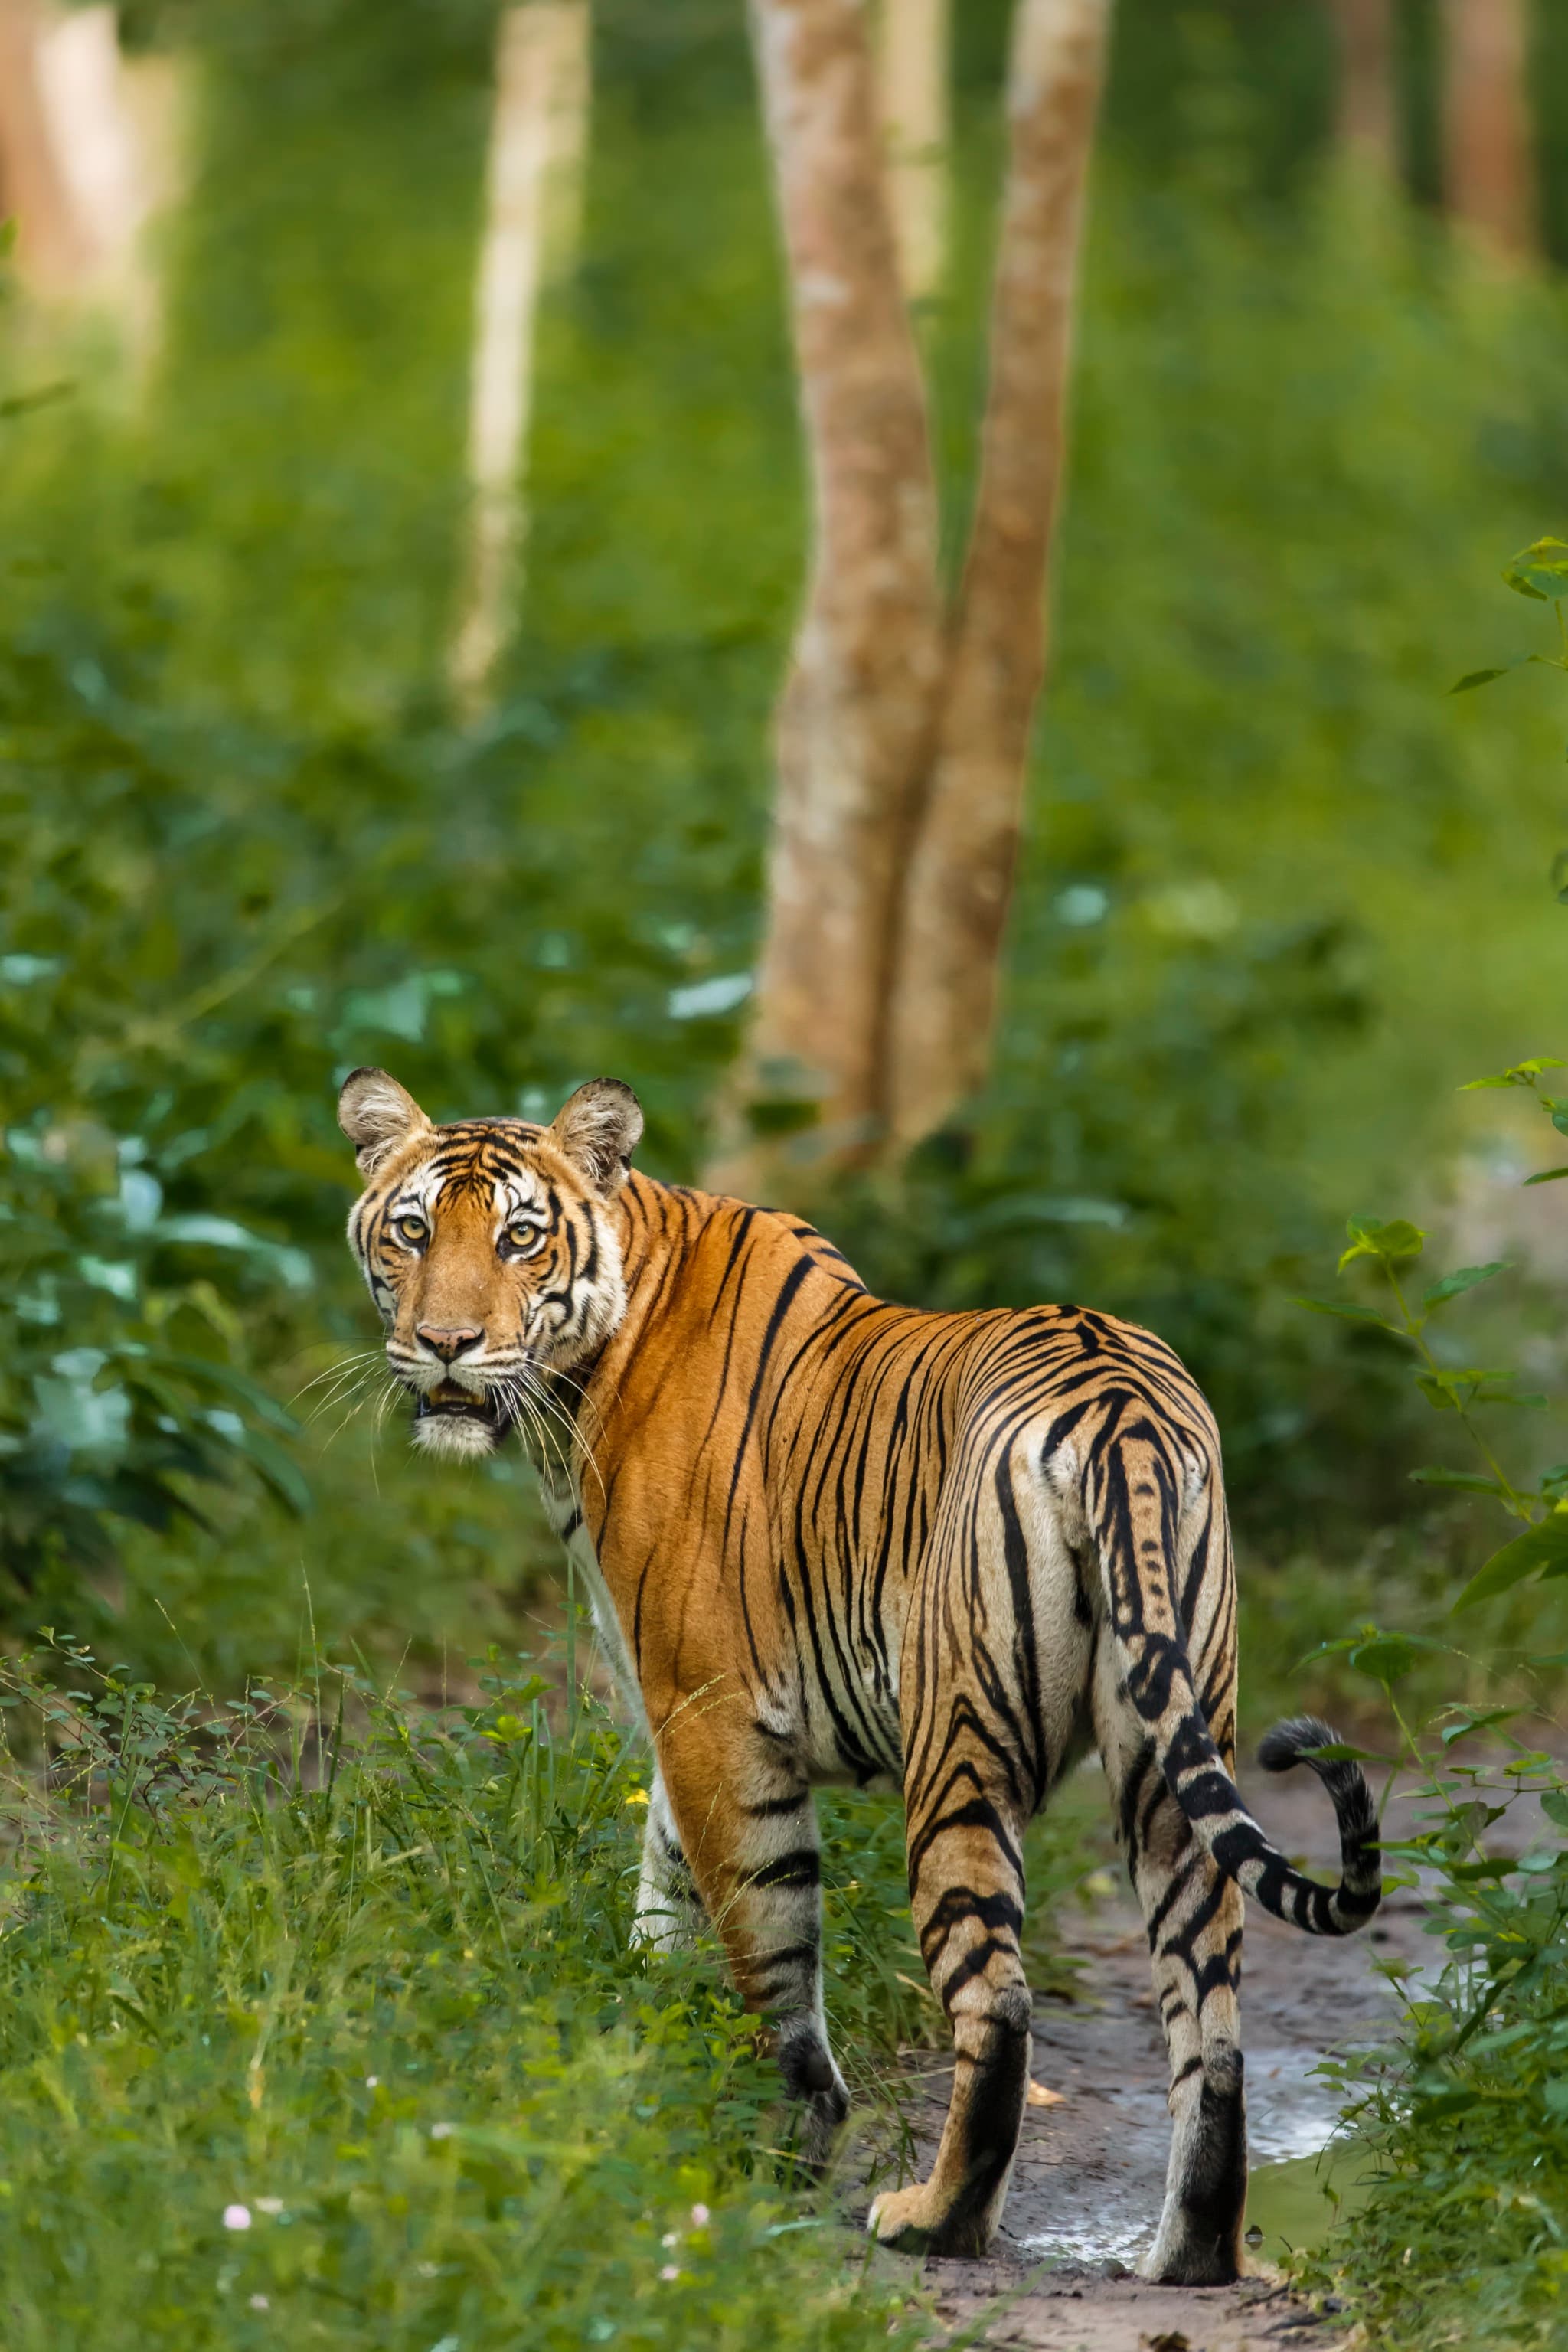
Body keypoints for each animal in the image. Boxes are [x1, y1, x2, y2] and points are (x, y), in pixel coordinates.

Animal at [338, 1063, 1381, 2279]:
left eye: (519, 1238)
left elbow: (765, 1942)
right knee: (1209, 2019)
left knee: (999, 2001)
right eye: (413, 1231)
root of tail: (1120, 1407)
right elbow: (665, 1898)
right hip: (1169, 1755)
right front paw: (643, 2075)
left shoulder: (712, 1712)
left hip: (961, 1748)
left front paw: (770, 2148)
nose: (445, 1343)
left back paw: (935, 2220)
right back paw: (1190, 2256)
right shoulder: (682, 1716)